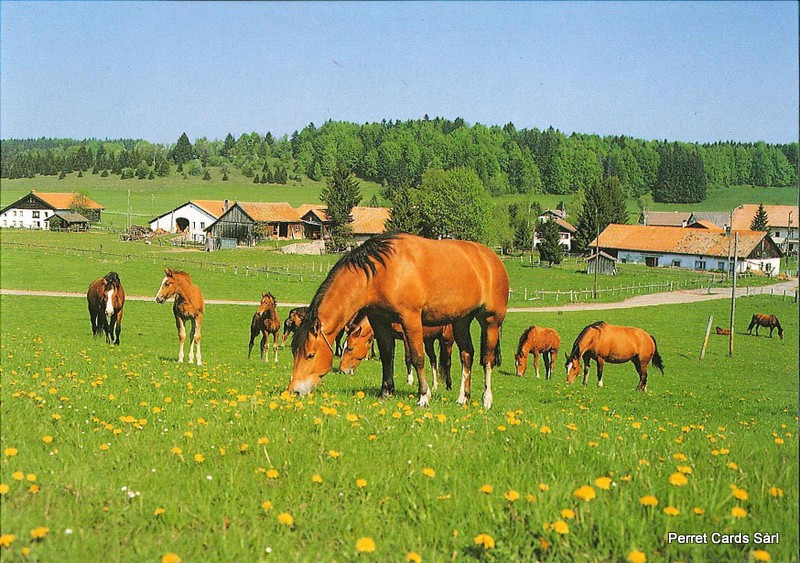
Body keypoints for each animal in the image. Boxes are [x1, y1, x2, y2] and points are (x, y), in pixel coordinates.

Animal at [288, 232, 509, 409]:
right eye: (294, 352)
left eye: (310, 355)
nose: (294, 391)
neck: (382, 271)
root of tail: (492, 259)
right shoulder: (379, 322)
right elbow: (387, 356)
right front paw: (385, 392)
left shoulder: (410, 320)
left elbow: (417, 358)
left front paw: (423, 396)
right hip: (461, 321)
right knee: (466, 355)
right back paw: (463, 398)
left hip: (491, 321)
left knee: (487, 359)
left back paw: (486, 400)